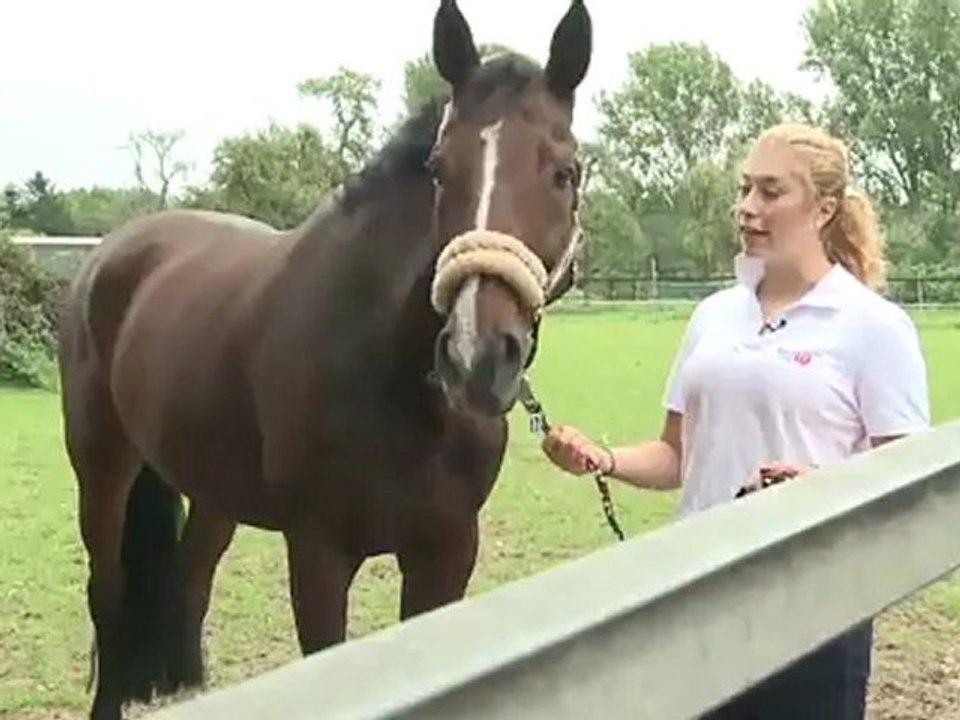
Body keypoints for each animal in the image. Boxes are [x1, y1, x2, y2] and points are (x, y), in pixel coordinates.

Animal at [56, 1, 592, 718]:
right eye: (438, 168)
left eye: (565, 172)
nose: (475, 355)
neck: (394, 382)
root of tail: (110, 253)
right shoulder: (317, 554)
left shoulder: (447, 550)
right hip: (102, 469)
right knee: (108, 593)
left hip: (212, 490)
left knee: (191, 582)